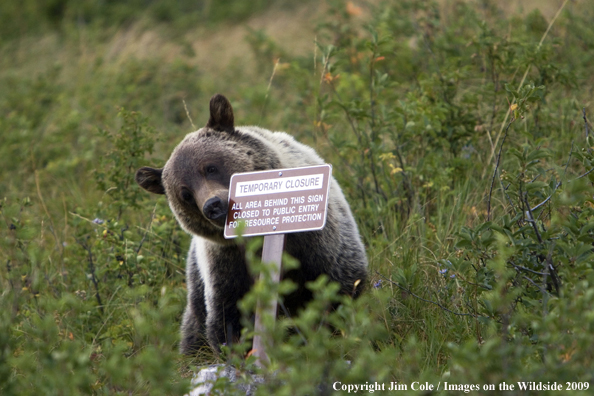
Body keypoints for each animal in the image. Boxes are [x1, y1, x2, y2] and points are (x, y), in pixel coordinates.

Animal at [136, 94, 366, 354]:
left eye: (210, 167)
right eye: (185, 193)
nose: (213, 205)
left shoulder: (315, 242)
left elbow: (338, 285)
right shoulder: (226, 264)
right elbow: (228, 316)